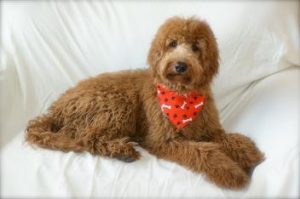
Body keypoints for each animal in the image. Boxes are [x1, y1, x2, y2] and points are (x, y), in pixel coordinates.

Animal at [26, 16, 264, 189]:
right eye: (172, 44)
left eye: (196, 47)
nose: (180, 65)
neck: (183, 96)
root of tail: (57, 108)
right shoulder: (164, 140)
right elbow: (204, 152)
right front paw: (231, 172)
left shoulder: (209, 129)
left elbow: (228, 138)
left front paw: (249, 152)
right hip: (116, 104)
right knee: (87, 139)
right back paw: (121, 151)